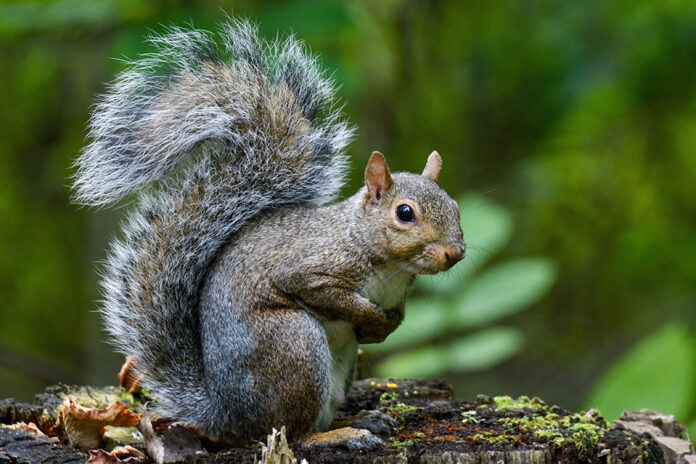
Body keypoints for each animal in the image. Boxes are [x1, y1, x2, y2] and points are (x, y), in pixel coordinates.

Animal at [72, 20, 466, 446]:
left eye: (456, 207)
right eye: (405, 213)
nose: (455, 253)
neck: (386, 262)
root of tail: (224, 414)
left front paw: (385, 325)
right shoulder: (311, 267)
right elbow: (323, 292)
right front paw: (370, 315)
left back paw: (361, 421)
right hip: (294, 344)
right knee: (292, 432)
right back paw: (339, 435)